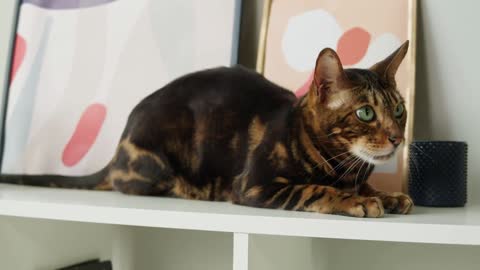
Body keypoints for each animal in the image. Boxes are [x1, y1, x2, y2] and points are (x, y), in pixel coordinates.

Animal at [0, 41, 412, 217]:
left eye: (399, 109)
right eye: (365, 113)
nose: (397, 138)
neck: (344, 168)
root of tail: (117, 150)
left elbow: (366, 187)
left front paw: (388, 195)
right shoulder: (256, 185)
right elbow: (314, 190)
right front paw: (357, 200)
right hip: (158, 163)